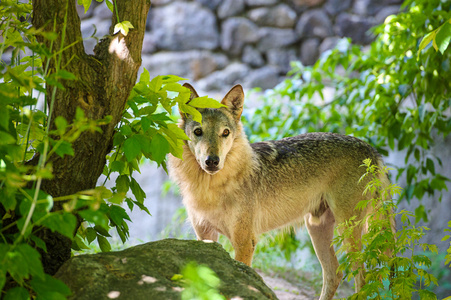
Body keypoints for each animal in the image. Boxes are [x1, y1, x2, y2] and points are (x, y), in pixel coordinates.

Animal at [168, 82, 394, 300]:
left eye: (225, 133)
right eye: (198, 132)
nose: (212, 161)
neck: (211, 187)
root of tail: (371, 150)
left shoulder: (244, 242)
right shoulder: (205, 238)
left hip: (348, 232)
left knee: (362, 277)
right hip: (316, 228)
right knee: (335, 273)